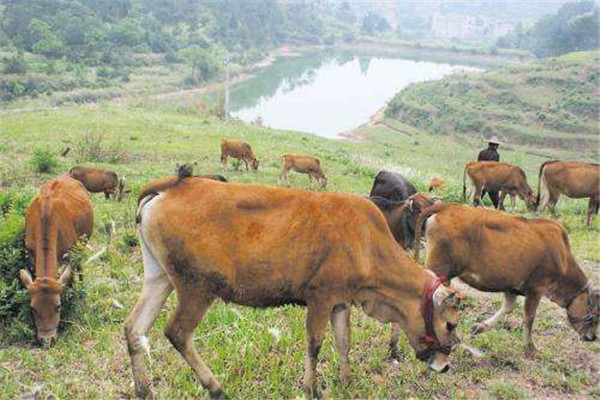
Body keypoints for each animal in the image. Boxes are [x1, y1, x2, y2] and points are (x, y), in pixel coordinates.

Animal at [19, 175, 94, 344]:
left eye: (58, 306)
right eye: (33, 308)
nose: (47, 340)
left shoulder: (70, 254)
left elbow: (70, 278)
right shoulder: (30, 254)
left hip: (81, 244)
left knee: (80, 268)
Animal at [126, 177, 462, 396]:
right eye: (450, 324)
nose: (446, 366)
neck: (366, 241)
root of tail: (170, 187)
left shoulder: (341, 301)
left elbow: (344, 341)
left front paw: (346, 380)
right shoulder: (320, 298)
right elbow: (315, 344)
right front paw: (310, 387)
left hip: (159, 278)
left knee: (134, 329)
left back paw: (144, 389)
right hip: (197, 287)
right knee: (177, 333)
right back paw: (216, 387)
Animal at [414, 205, 596, 352]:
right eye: (593, 313)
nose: (592, 337)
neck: (562, 258)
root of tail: (448, 206)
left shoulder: (511, 287)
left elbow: (508, 307)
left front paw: (479, 327)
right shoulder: (536, 289)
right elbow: (529, 318)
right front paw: (530, 347)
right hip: (440, 271)